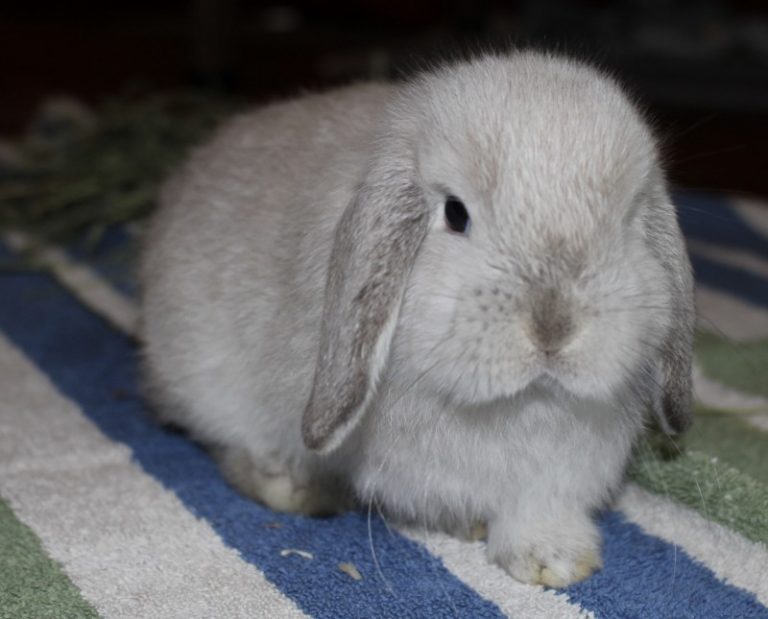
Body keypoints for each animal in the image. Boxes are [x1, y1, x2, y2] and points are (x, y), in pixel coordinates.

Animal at [139, 51, 695, 587]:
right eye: (455, 213)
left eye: (626, 222)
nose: (553, 327)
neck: (524, 404)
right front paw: (474, 526)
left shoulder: (558, 473)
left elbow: (537, 510)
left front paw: (555, 560)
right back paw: (293, 486)